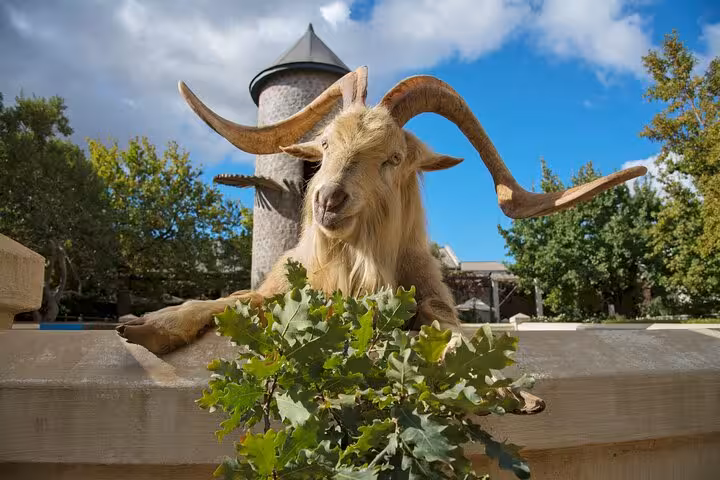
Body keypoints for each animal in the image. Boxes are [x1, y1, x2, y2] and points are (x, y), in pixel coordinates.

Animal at [117, 66, 645, 359]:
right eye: (325, 146)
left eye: (392, 158)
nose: (328, 200)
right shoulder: (277, 288)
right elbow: (229, 301)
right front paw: (146, 327)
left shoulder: (431, 293)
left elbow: (445, 322)